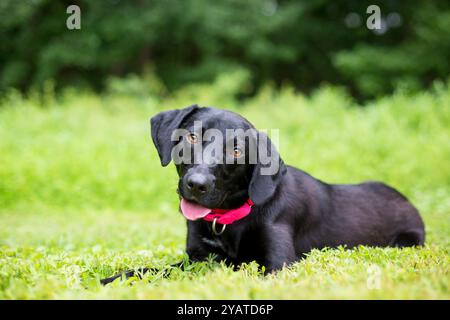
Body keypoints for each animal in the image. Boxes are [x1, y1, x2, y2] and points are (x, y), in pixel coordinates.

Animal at [99, 105, 426, 284]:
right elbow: (147, 270)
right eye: (191, 136)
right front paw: (109, 279)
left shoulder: (277, 266)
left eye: (236, 150)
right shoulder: (196, 258)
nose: (196, 184)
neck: (228, 221)